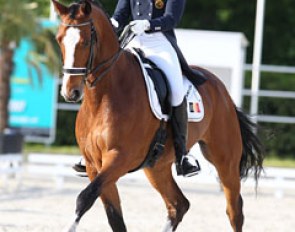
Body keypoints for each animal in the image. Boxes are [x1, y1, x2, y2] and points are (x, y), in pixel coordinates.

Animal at [52, 0, 264, 231]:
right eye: (59, 39)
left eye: (85, 41)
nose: (70, 92)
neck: (103, 98)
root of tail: (221, 89)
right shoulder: (93, 164)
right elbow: (114, 216)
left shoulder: (119, 158)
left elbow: (85, 197)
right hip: (157, 167)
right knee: (178, 204)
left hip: (225, 161)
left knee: (234, 210)